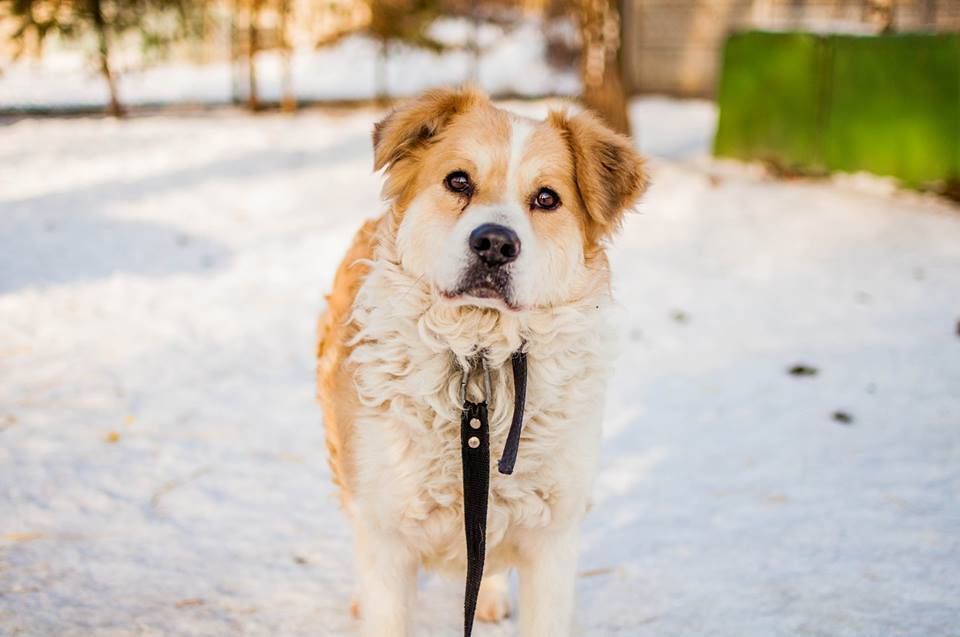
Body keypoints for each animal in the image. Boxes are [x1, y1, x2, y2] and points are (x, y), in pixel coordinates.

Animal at [318, 85, 648, 636]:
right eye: (458, 181)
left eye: (546, 198)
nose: (494, 242)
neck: (480, 359)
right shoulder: (386, 533)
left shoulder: (553, 540)